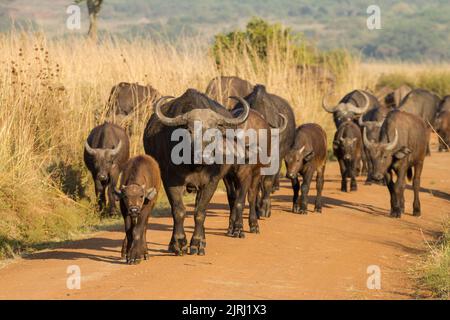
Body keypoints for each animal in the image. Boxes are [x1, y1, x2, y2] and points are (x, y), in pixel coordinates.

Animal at [142, 87, 251, 255]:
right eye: (189, 131)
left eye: (213, 132)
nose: (203, 155)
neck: (195, 165)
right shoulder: (170, 180)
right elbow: (178, 210)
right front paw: (178, 243)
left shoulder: (211, 182)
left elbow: (200, 212)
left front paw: (197, 243)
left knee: (234, 199)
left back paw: (232, 231)